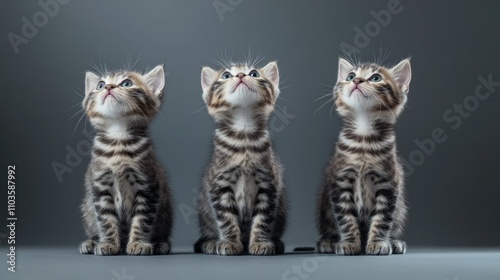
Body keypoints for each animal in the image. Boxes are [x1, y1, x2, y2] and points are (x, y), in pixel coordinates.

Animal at [77, 64, 172, 255]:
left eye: (126, 83)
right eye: (99, 85)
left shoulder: (148, 186)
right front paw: (107, 244)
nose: (108, 87)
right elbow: (106, 220)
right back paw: (91, 242)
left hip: (166, 208)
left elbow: (142, 220)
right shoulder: (100, 187)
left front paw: (139, 244)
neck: (118, 138)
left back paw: (160, 243)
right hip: (87, 208)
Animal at [196, 61, 290, 256]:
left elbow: (263, 219)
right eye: (226, 75)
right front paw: (230, 243)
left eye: (253, 73)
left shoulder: (268, 184)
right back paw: (212, 243)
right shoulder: (219, 185)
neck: (244, 133)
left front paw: (260, 243)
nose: (240, 75)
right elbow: (226, 219)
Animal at [318, 58, 412, 255]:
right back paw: (328, 242)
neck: (363, 136)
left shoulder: (388, 184)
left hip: (400, 210)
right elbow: (346, 218)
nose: (356, 81)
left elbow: (382, 219)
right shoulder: (340, 182)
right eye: (350, 76)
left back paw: (394, 242)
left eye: (375, 78)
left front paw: (378, 243)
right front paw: (348, 243)